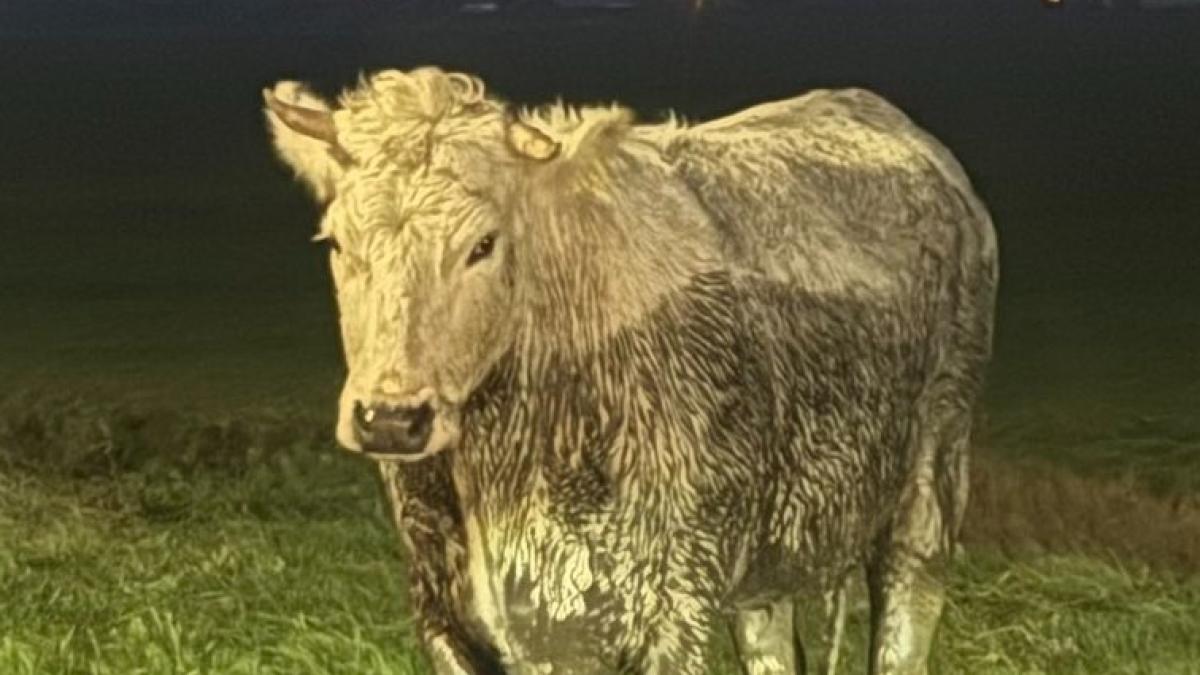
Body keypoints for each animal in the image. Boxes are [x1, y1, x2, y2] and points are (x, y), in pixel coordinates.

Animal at [264, 66, 998, 675]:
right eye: (337, 243)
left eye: (483, 244)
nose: (390, 418)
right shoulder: (449, 619)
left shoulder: (671, 608)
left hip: (931, 478)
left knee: (906, 616)